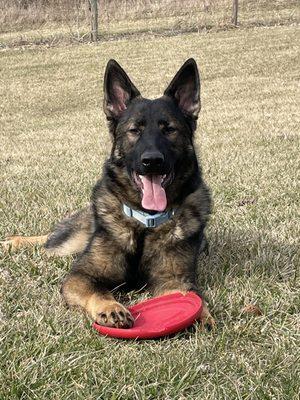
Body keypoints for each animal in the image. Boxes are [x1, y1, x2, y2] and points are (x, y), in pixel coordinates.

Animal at [4, 58, 216, 328]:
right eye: (135, 130)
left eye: (169, 129)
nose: (152, 161)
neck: (145, 223)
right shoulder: (82, 275)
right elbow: (98, 291)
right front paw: (111, 307)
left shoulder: (173, 280)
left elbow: (189, 297)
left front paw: (203, 316)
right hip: (68, 244)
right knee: (48, 240)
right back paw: (12, 242)